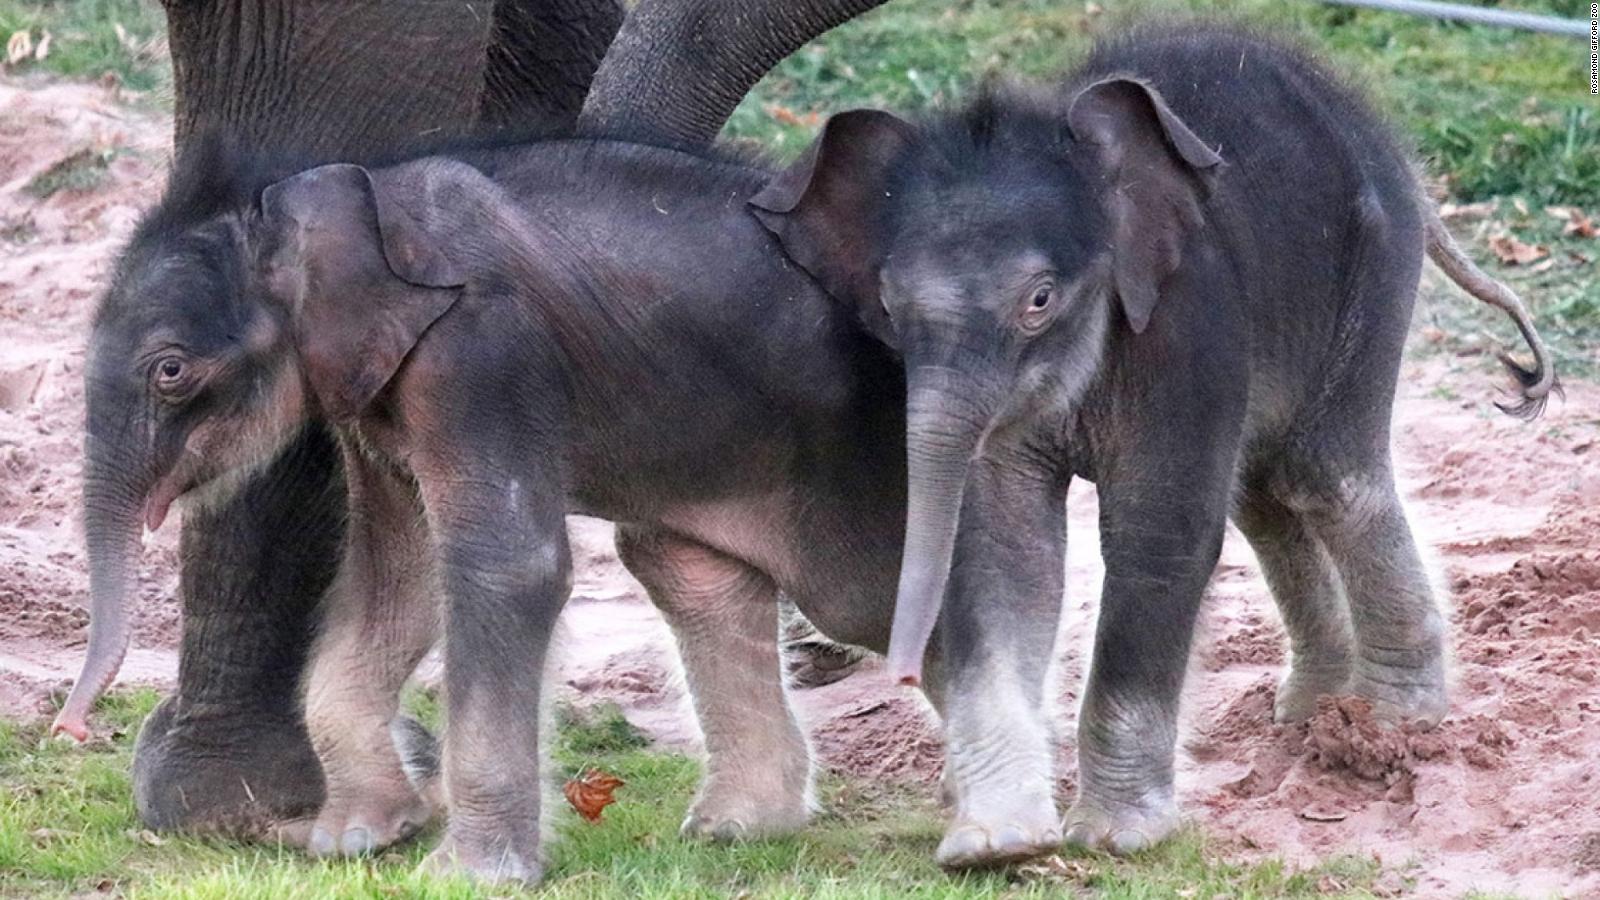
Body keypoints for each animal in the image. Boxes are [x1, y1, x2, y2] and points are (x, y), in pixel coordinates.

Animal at [755, 24, 1555, 851]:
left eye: (1039, 300)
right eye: (888, 305)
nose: (903, 672)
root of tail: (1397, 153)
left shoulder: (1185, 320)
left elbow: (1158, 533)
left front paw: (1114, 840)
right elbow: (1007, 545)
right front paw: (997, 843)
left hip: (1371, 267)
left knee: (1326, 478)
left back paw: (1395, 721)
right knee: (1263, 494)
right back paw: (1313, 710)